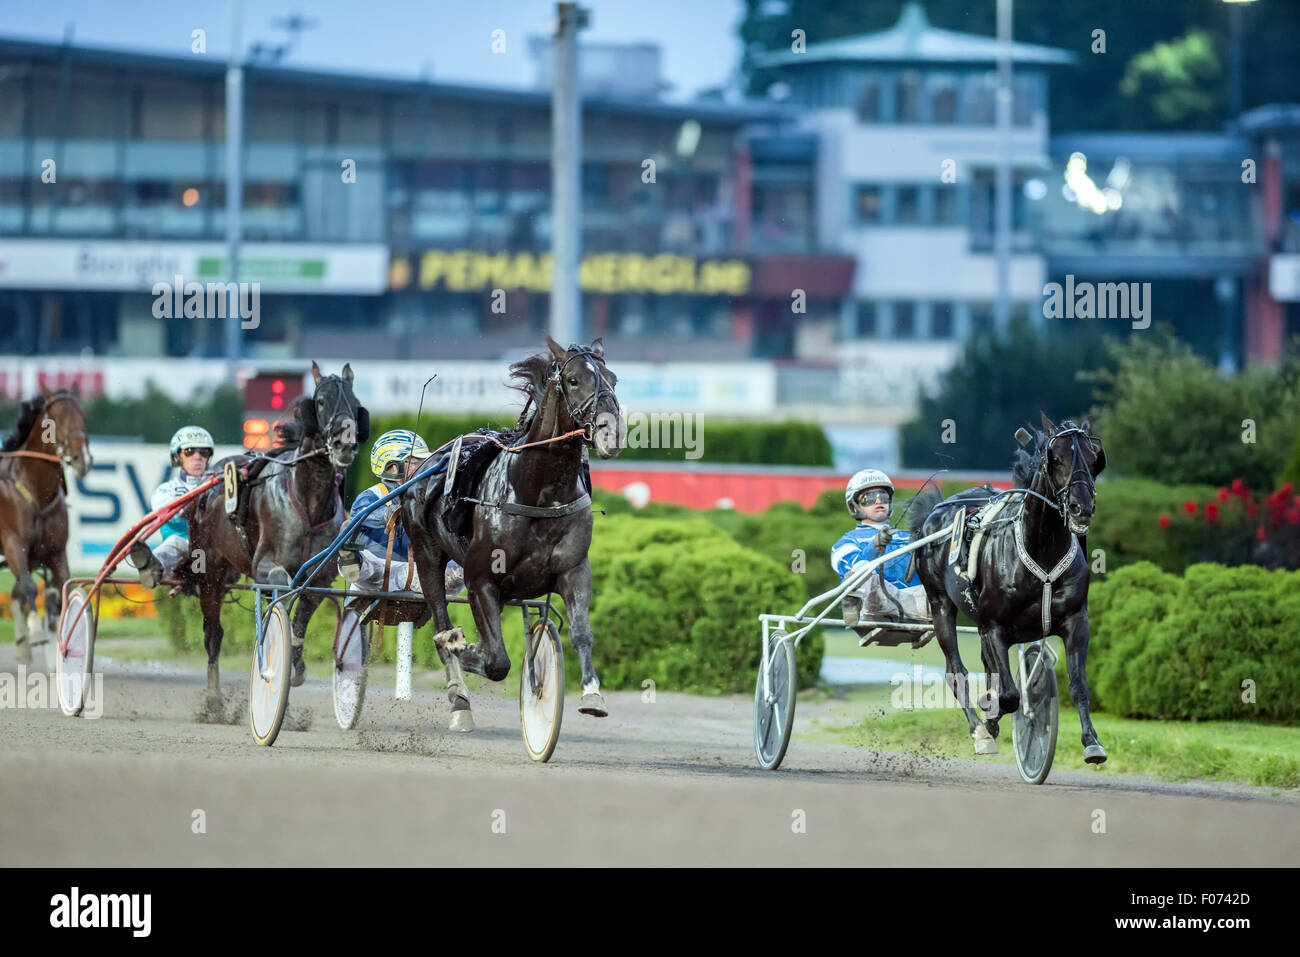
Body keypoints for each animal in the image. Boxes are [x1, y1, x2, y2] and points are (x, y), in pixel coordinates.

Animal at [0, 390, 92, 665]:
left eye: (84, 416)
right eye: (56, 419)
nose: (82, 458)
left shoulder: (55, 551)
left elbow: (60, 590)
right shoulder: (13, 544)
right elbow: (30, 587)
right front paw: (36, 631)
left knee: (18, 593)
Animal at [187, 364, 366, 712]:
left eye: (354, 402)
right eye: (321, 401)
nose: (345, 444)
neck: (308, 501)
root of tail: (209, 480)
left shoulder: (320, 576)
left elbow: (299, 620)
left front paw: (294, 665)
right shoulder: (265, 564)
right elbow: (281, 585)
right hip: (210, 571)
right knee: (213, 633)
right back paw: (214, 699)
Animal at [400, 332, 624, 728]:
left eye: (614, 379)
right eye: (573, 380)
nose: (611, 432)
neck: (538, 492)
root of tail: (425, 463)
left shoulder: (573, 570)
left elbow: (582, 633)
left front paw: (592, 693)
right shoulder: (480, 580)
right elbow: (495, 660)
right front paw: (463, 648)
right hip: (426, 554)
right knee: (440, 623)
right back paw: (458, 695)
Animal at [915, 416, 1107, 764]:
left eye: (1093, 457)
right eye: (1056, 457)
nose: (1081, 507)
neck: (1041, 550)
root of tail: (936, 511)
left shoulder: (1076, 621)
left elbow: (1078, 685)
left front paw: (1092, 742)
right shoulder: (993, 625)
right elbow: (1008, 695)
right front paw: (990, 714)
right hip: (940, 604)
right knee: (956, 671)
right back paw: (980, 731)